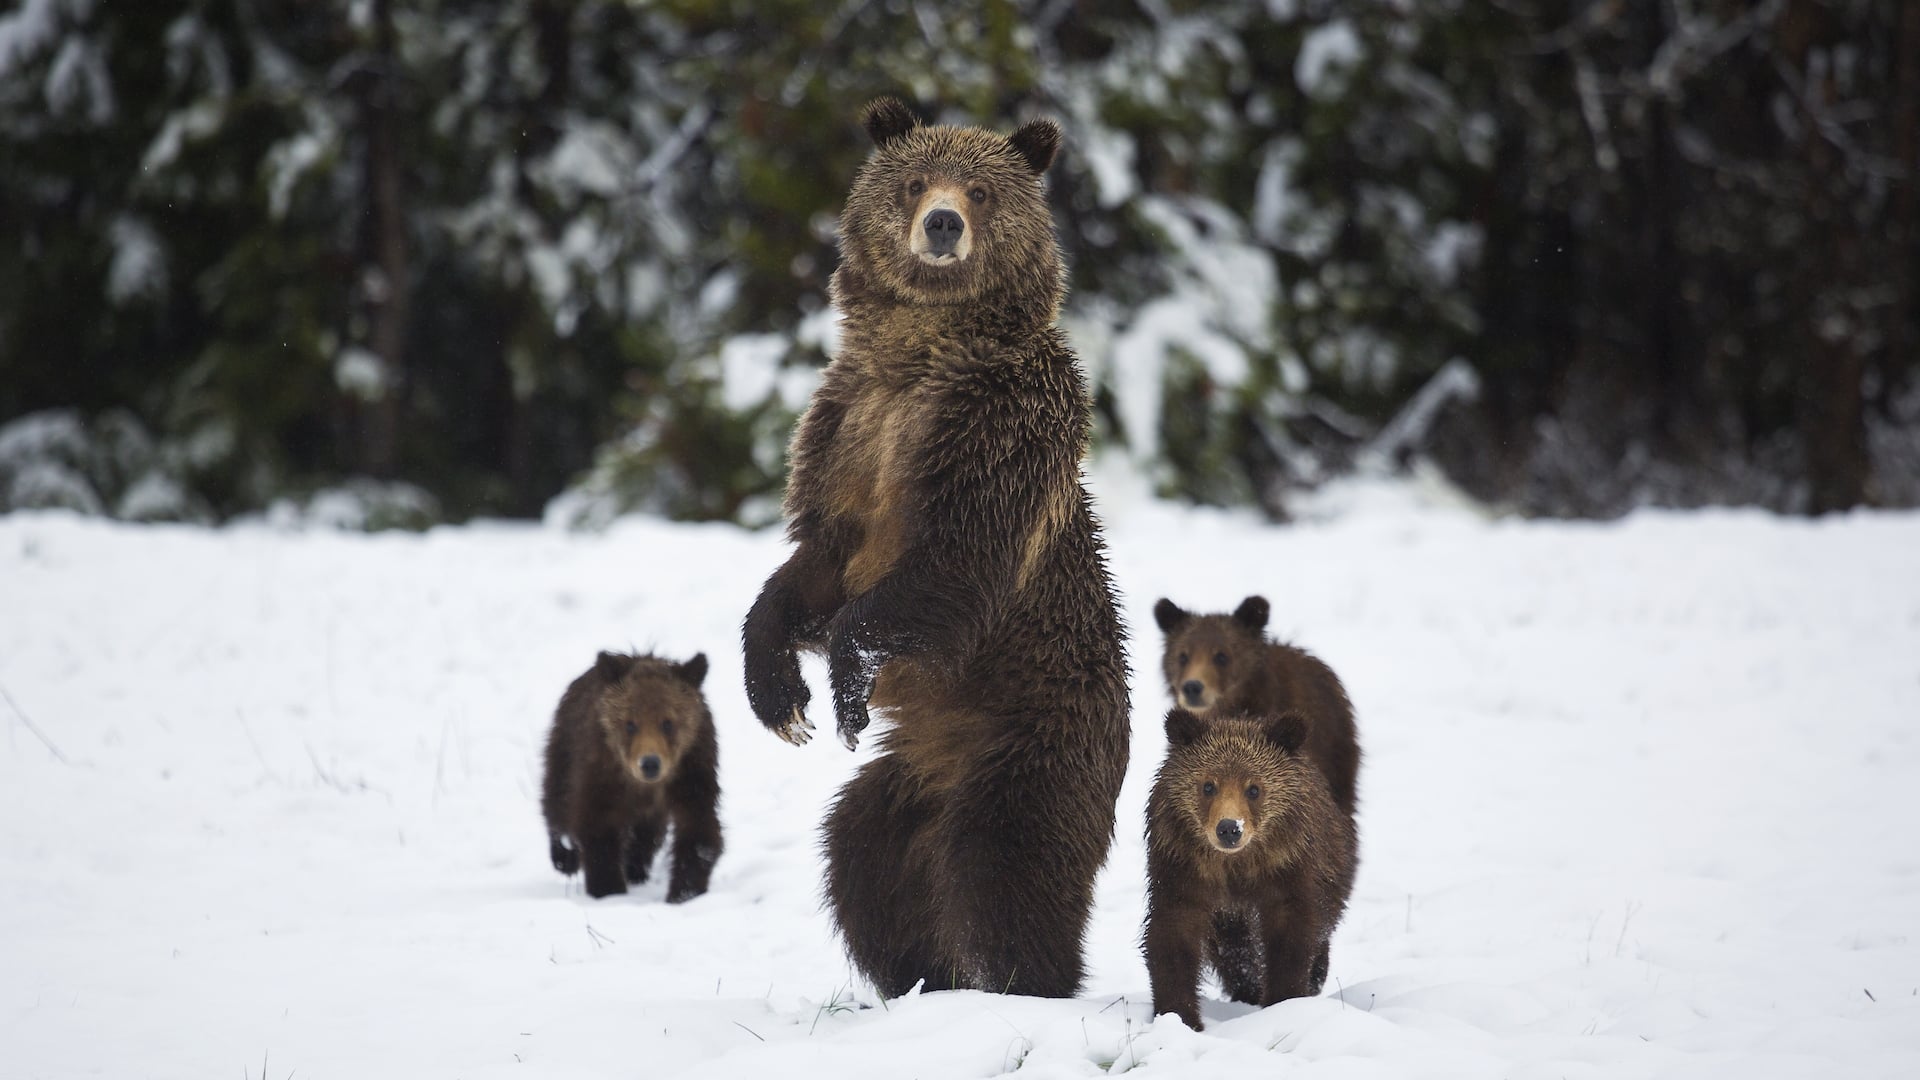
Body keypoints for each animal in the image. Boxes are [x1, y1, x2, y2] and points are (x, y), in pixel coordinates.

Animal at [541, 645, 721, 899]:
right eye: (629, 723)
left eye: (668, 722)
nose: (650, 763)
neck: (643, 786)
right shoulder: (601, 769)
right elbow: (598, 826)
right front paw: (609, 889)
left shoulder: (692, 772)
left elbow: (698, 830)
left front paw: (684, 891)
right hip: (564, 748)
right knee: (557, 801)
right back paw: (564, 856)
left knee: (645, 834)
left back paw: (635, 868)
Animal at [733, 98, 1121, 991]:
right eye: (914, 181)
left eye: (979, 189)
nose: (942, 224)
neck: (922, 356)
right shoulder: (848, 429)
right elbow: (812, 564)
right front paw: (782, 698)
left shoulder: (996, 430)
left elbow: (952, 562)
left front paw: (843, 688)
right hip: (906, 780)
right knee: (862, 862)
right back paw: (916, 976)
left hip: (1029, 743)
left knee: (1003, 869)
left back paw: (1023, 981)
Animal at [1144, 707, 1359, 1022]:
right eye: (1208, 785)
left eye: (1254, 789)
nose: (1229, 828)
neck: (1238, 865)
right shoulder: (1182, 866)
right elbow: (1173, 935)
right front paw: (1179, 1014)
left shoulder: (1289, 867)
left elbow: (1293, 935)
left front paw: (1284, 999)